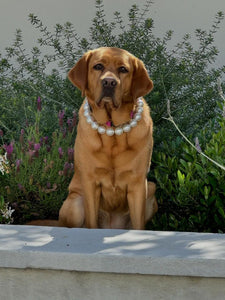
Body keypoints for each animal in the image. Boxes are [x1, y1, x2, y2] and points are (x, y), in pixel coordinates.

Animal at [58, 47, 156, 230]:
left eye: (123, 69)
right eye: (98, 66)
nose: (109, 82)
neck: (113, 130)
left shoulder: (138, 184)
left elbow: (139, 225)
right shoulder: (90, 182)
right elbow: (91, 222)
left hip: (151, 190)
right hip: (74, 204)